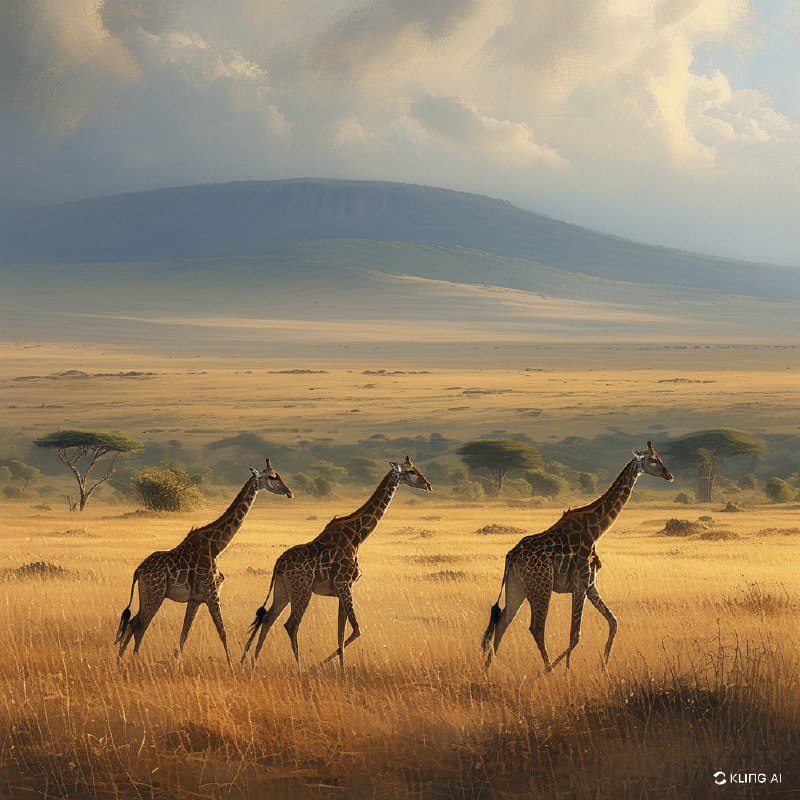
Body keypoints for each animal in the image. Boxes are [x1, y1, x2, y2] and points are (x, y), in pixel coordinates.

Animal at [115, 459, 293, 665]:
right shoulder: (212, 593)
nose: (289, 492)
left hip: (148, 594)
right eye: (272, 476)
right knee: (139, 624)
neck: (215, 547)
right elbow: (222, 631)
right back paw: (132, 660)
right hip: (155, 593)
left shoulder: (196, 598)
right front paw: (231, 665)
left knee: (133, 623)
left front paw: (177, 663)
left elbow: (185, 633)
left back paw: (121, 661)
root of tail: (138, 571)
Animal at [241, 456, 432, 670]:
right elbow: (356, 630)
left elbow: (340, 633)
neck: (357, 536)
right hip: (302, 590)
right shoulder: (344, 584)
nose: (428, 485)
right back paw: (300, 668)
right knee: (291, 625)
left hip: (283, 590)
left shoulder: (343, 588)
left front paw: (341, 669)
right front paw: (323, 665)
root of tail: (279, 564)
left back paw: (253, 663)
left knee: (267, 619)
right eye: (411, 471)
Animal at [481, 442, 673, 672]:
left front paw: (603, 667)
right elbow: (575, 635)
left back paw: (487, 668)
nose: (669, 475)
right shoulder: (580, 582)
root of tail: (511, 556)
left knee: (503, 621)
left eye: (659, 457)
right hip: (540, 586)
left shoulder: (590, 584)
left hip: (517, 585)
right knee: (535, 628)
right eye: (653, 459)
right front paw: (565, 671)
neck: (596, 530)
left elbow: (613, 621)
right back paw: (547, 670)